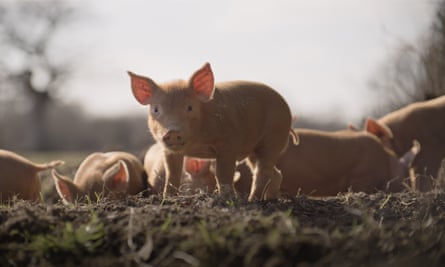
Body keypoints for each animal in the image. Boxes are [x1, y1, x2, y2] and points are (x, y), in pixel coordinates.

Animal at [126, 62, 296, 201]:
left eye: (190, 107)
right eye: (156, 109)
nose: (172, 131)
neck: (196, 145)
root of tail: (286, 108)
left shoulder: (227, 145)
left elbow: (223, 174)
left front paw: (225, 199)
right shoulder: (169, 151)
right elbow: (172, 174)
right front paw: (167, 198)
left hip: (272, 138)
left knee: (263, 172)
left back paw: (252, 201)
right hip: (255, 150)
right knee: (274, 173)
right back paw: (271, 200)